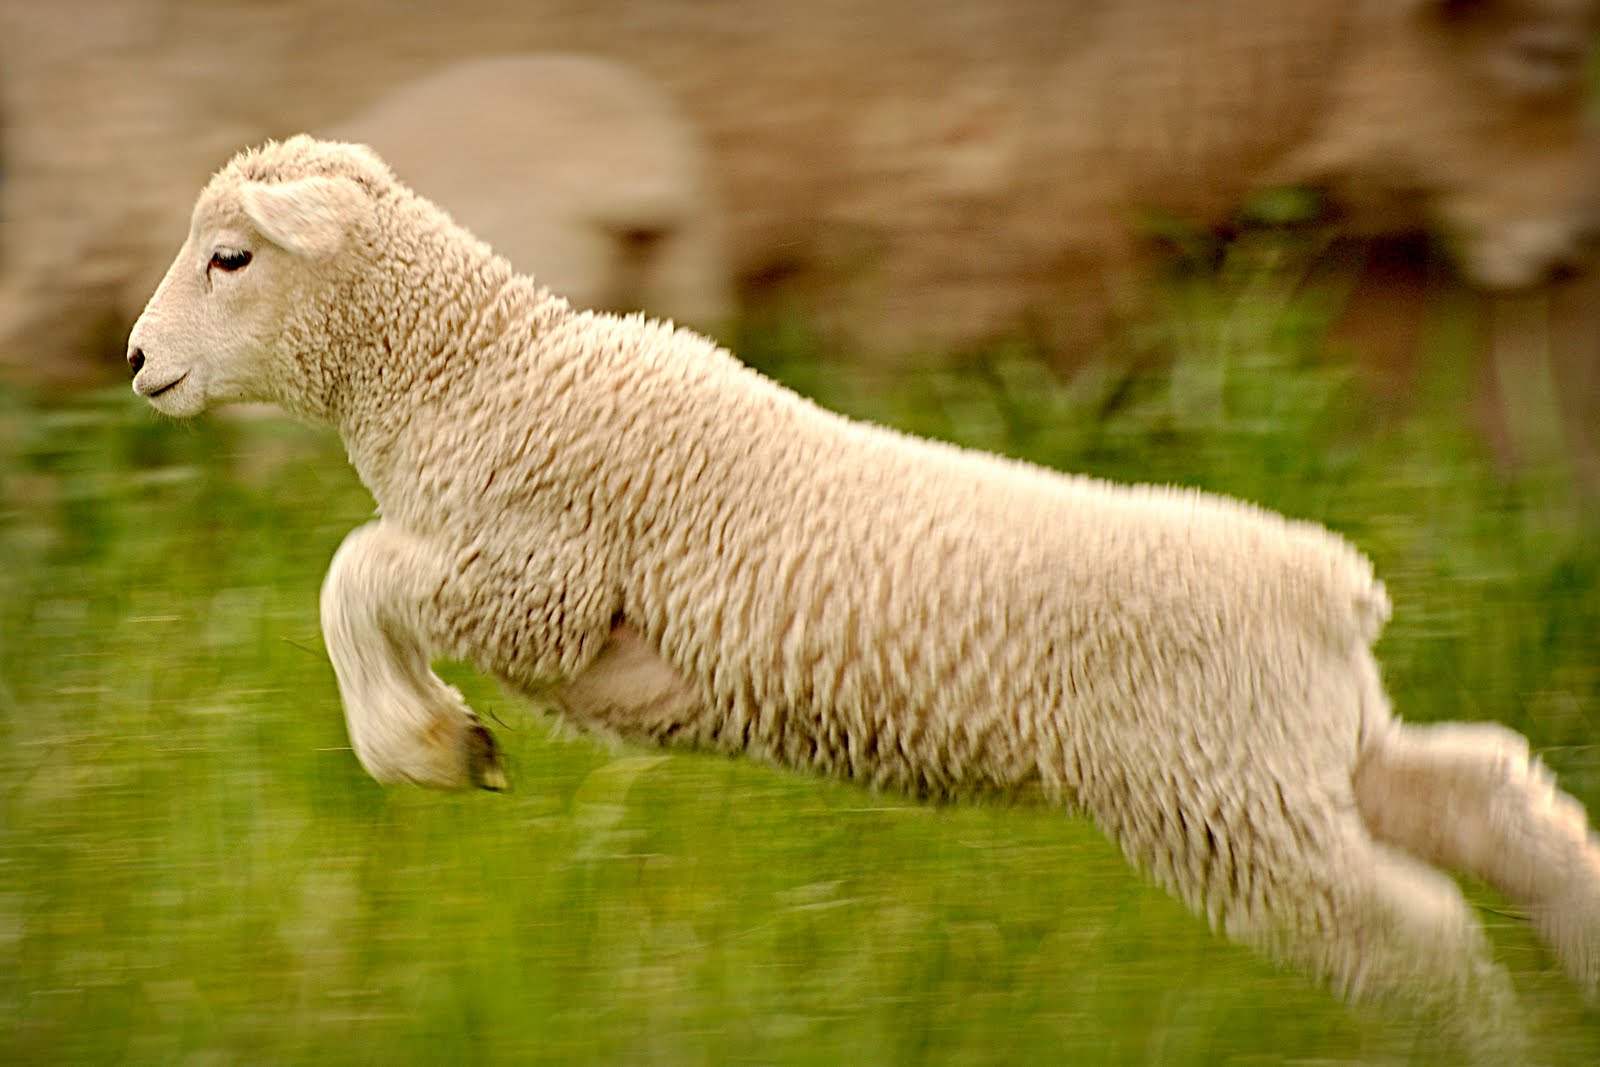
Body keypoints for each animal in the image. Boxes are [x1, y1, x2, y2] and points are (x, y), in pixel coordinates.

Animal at [126, 136, 1600, 1058]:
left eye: (231, 258)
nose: (136, 361)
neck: (478, 372)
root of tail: (1329, 584)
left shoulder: (538, 579)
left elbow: (352, 571)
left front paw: (431, 742)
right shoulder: (520, 583)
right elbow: (360, 574)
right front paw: (440, 736)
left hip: (1215, 790)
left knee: (1413, 925)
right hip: (1284, 755)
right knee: (1491, 795)